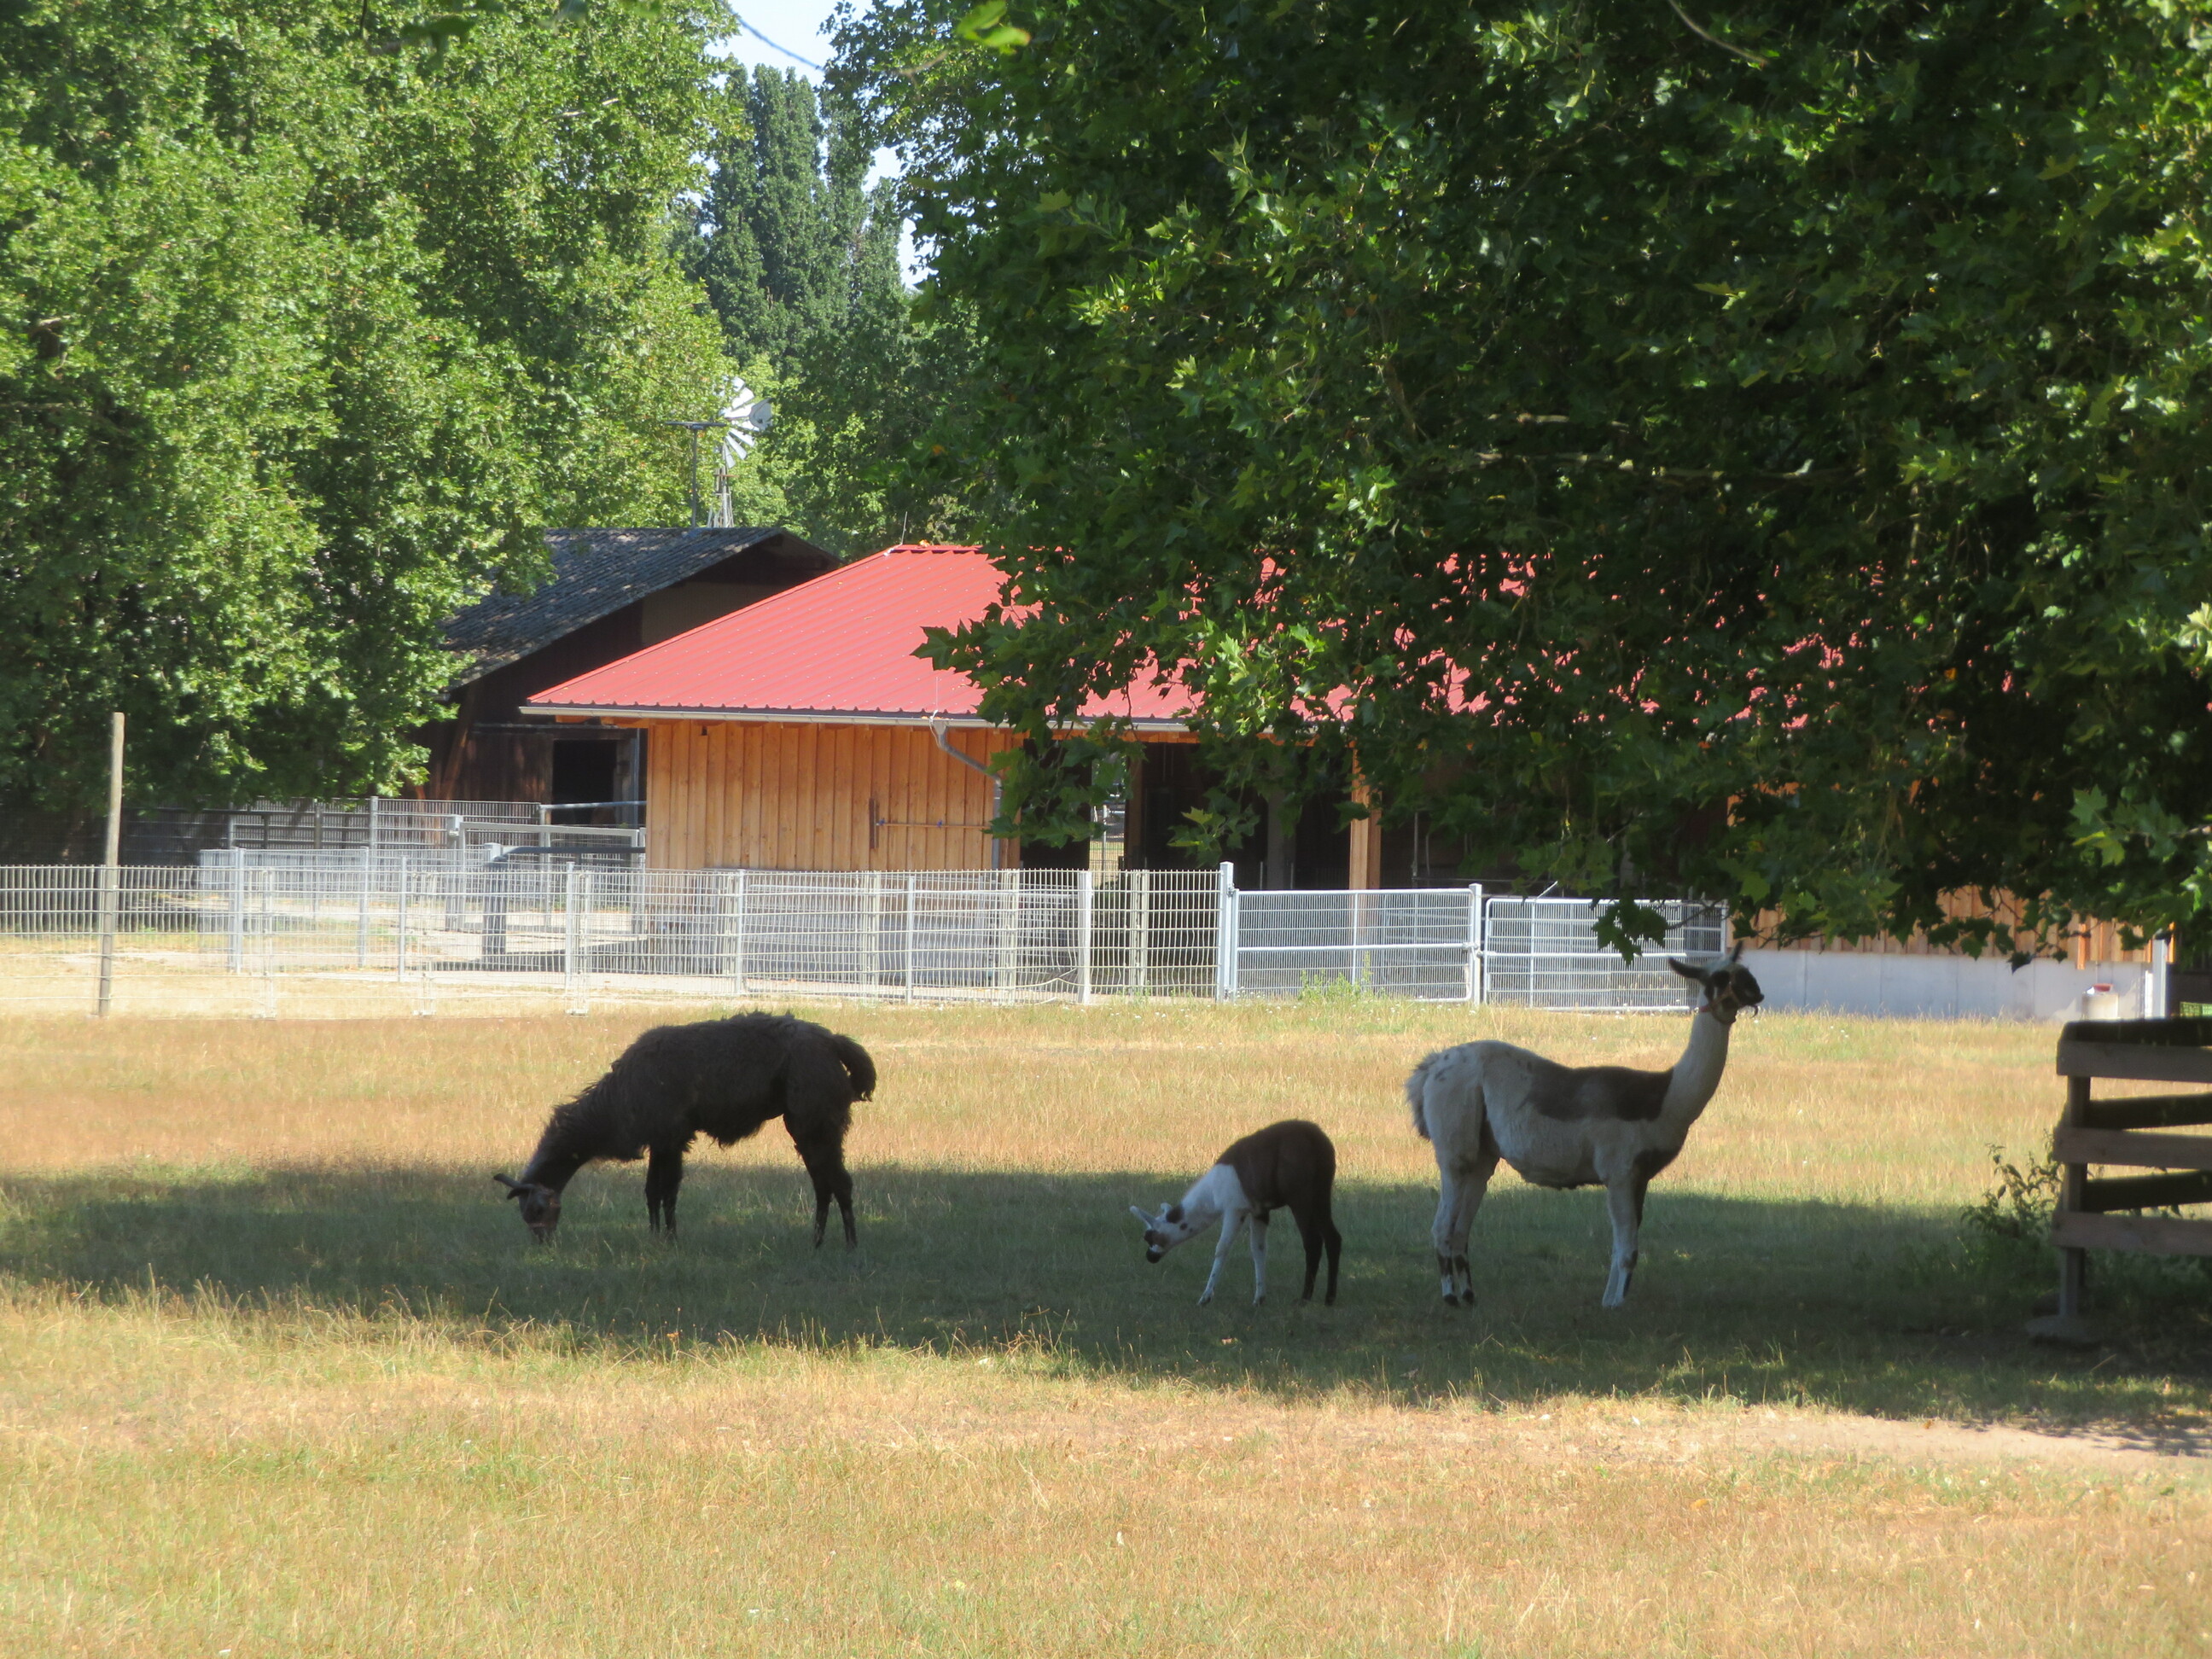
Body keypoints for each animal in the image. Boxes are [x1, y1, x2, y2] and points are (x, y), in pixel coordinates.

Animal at [494, 1012, 875, 1246]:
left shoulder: (672, 1133)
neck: (616, 1102)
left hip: (813, 1119)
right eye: (527, 1214)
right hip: (813, 1124)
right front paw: (655, 1237)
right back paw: (817, 1243)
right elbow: (653, 1191)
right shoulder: (661, 1139)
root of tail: (833, 1041)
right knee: (824, 1183)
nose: (542, 1241)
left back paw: (850, 1246)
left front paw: (669, 1239)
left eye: (537, 1210)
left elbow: (667, 1192)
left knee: (839, 1182)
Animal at [1129, 1119, 1344, 1306]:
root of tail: (1316, 1139)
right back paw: (1329, 1299)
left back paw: (1304, 1299)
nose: (1150, 1257)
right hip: (1321, 1192)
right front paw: (1259, 1299)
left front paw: (1205, 1298)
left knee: (1313, 1241)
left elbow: (1221, 1248)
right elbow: (1258, 1250)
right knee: (1333, 1237)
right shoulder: (1259, 1211)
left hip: (1300, 1196)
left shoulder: (1234, 1209)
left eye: (1149, 1237)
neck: (1212, 1194)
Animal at [1406, 945, 1762, 1308]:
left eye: (1746, 972)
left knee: (1461, 1228)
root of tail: (1430, 1067)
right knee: (1442, 1226)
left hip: (1483, 1155)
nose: (1757, 992)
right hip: (1455, 1147)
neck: (1667, 1099)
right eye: (1722, 978)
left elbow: (1623, 1247)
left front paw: (1608, 1300)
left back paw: (1469, 1295)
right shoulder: (1619, 1172)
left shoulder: (1640, 1177)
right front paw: (1615, 1305)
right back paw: (1450, 1296)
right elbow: (1627, 1250)